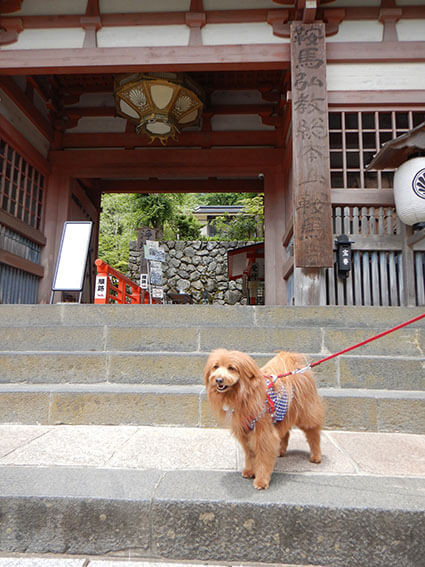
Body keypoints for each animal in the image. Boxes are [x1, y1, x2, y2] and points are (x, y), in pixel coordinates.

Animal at [203, 348, 324, 490]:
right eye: (215, 367)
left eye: (231, 368)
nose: (218, 380)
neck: (242, 395)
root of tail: (298, 369)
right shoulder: (245, 432)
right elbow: (250, 455)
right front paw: (250, 471)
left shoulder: (263, 434)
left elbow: (263, 458)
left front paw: (261, 481)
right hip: (282, 415)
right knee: (285, 433)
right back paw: (280, 451)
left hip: (306, 413)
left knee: (313, 433)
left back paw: (316, 456)